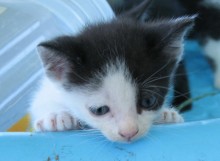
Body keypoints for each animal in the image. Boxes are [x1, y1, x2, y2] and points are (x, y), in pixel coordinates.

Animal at [28, 12, 192, 142]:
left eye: (148, 101)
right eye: (99, 110)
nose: (129, 133)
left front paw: (166, 115)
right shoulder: (49, 89)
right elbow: (40, 102)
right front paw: (57, 116)